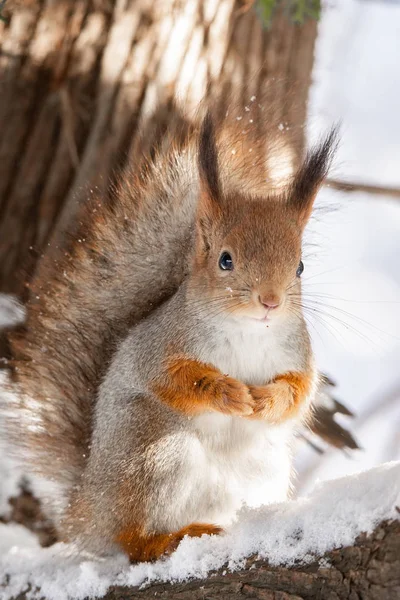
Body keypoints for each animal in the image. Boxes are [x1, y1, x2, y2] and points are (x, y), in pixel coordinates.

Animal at [3, 104, 338, 564]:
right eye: (225, 260)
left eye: (300, 266)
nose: (270, 301)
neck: (250, 333)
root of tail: (86, 513)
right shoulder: (162, 345)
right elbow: (173, 379)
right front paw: (228, 393)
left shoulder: (298, 354)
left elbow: (298, 393)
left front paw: (266, 399)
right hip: (156, 455)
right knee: (132, 540)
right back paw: (163, 539)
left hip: (263, 469)